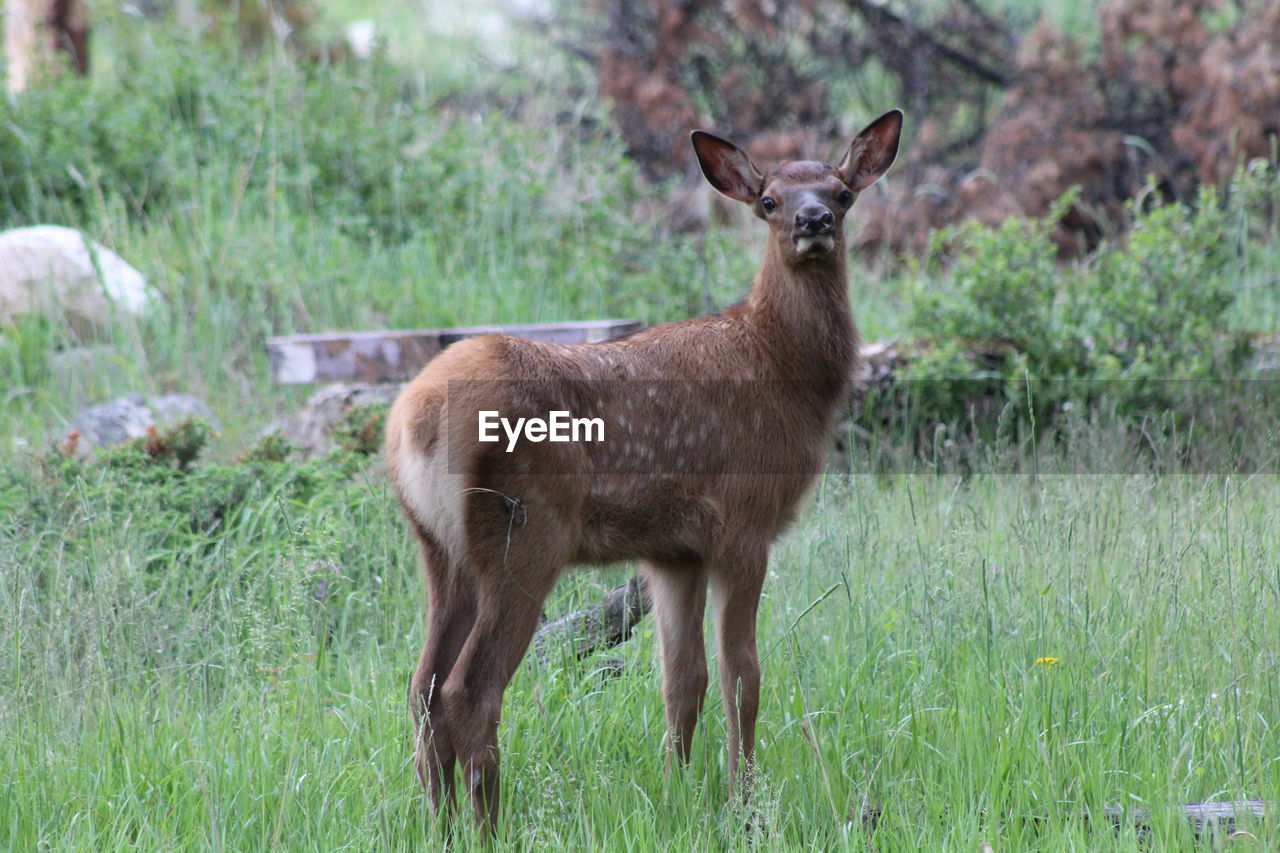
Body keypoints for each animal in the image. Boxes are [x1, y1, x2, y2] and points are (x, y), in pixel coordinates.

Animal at [378, 109, 901, 835]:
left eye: (843, 193)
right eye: (769, 201)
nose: (815, 219)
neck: (780, 367)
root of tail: (413, 419)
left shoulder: (673, 551)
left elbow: (683, 683)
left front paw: (678, 794)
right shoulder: (743, 524)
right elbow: (744, 676)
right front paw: (745, 803)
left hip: (438, 548)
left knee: (421, 687)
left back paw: (444, 825)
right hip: (525, 533)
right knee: (467, 689)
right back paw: (489, 828)